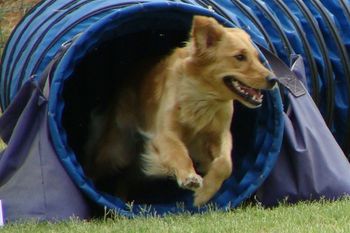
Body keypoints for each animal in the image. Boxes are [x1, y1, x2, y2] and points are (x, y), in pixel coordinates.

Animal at [85, 15, 276, 207]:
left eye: (258, 58)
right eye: (239, 57)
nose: (273, 79)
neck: (204, 97)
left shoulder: (220, 133)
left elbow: (225, 164)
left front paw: (205, 193)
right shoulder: (165, 134)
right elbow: (179, 153)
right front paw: (189, 177)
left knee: (125, 179)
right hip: (118, 150)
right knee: (98, 166)